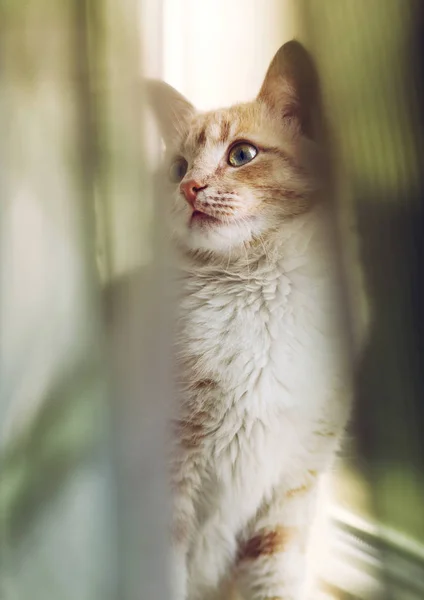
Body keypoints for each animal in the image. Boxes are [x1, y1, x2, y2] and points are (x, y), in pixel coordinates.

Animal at [147, 41, 362, 600]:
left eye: (241, 155)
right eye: (178, 168)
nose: (190, 188)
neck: (257, 296)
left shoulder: (290, 492)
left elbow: (273, 578)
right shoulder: (165, 478)